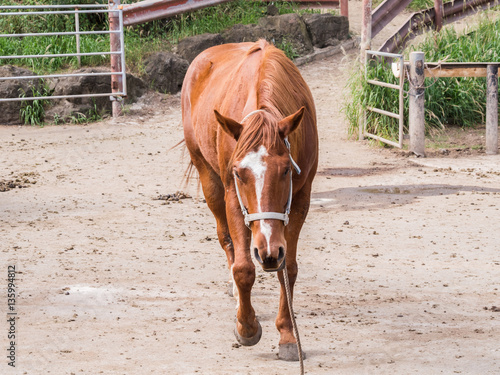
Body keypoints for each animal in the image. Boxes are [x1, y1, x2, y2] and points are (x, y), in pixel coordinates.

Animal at [182, 40, 318, 362]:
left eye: (285, 170)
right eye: (239, 173)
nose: (267, 251)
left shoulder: (300, 198)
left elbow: (288, 268)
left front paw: (288, 335)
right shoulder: (233, 195)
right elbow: (243, 268)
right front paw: (246, 327)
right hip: (209, 180)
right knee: (227, 240)